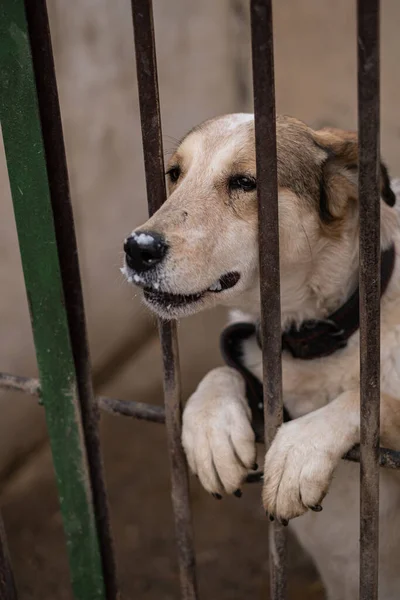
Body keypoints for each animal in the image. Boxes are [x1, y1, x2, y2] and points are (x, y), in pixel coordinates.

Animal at [121, 113, 400, 600]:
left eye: (245, 183)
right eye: (174, 174)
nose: (138, 248)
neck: (315, 340)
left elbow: (370, 400)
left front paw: (300, 449)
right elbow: (220, 372)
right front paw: (210, 429)